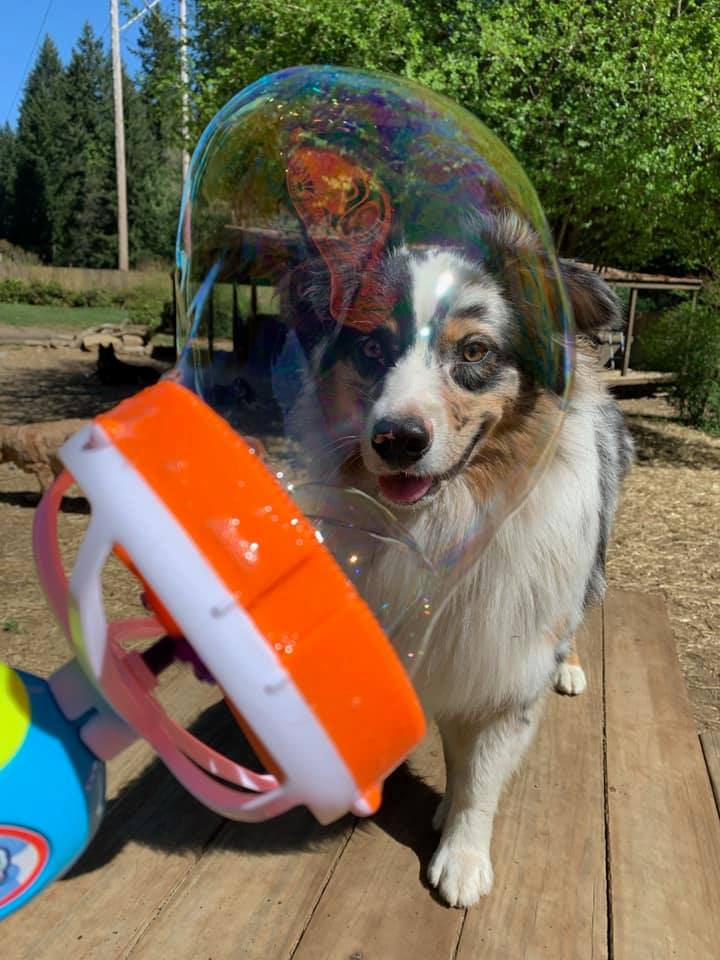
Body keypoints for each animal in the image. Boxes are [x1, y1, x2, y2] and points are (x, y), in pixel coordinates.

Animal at [284, 210, 632, 908]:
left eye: (473, 352)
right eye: (371, 349)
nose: (396, 439)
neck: (449, 516)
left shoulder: (507, 654)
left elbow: (484, 770)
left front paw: (464, 855)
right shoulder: (447, 644)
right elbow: (454, 748)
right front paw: (447, 813)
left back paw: (570, 667)